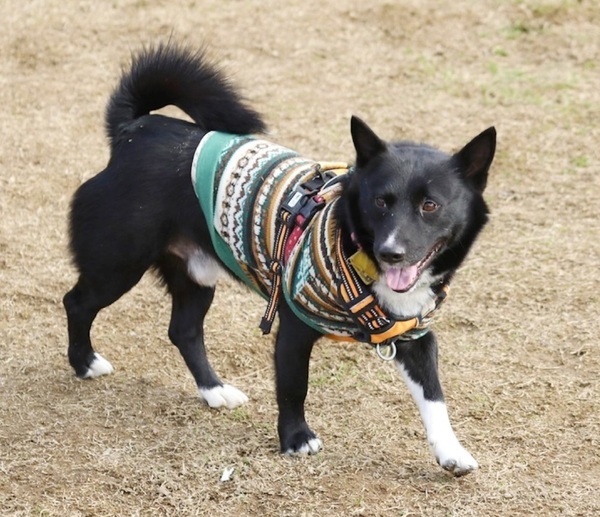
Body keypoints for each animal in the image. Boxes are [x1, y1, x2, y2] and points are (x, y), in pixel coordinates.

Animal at [63, 44, 495, 477]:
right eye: (380, 202)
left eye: (430, 205)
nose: (392, 252)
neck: (355, 251)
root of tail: (135, 130)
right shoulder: (294, 327)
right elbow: (293, 387)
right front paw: (296, 439)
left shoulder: (413, 334)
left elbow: (434, 397)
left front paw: (451, 451)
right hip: (118, 264)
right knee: (78, 303)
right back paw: (85, 363)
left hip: (196, 273)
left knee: (183, 331)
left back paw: (214, 390)